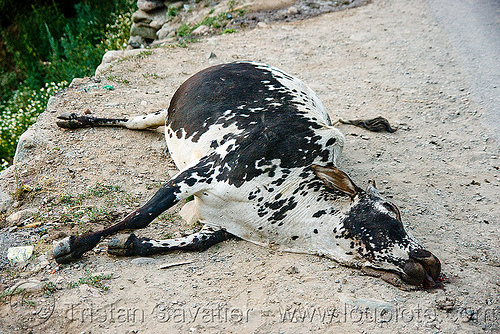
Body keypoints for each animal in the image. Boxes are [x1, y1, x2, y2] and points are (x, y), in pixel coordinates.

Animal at [52, 62, 440, 288]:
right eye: (391, 211)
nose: (431, 263)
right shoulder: (203, 171)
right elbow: (141, 215)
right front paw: (74, 245)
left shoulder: (217, 224)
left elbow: (190, 242)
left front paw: (128, 245)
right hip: (169, 114)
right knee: (133, 120)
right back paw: (75, 118)